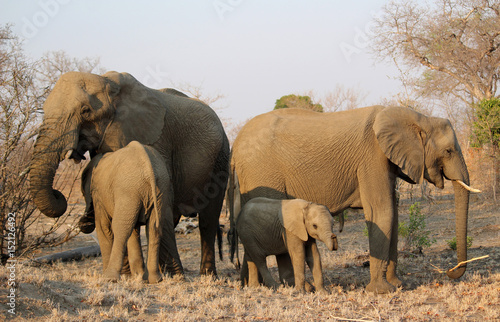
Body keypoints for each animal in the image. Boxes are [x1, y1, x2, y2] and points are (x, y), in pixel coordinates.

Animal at [81, 140, 183, 282]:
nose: (83, 222)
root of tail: (149, 168)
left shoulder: (98, 195)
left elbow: (104, 227)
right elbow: (134, 229)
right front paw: (138, 275)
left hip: (128, 190)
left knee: (121, 228)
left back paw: (110, 278)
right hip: (159, 190)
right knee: (154, 229)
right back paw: (153, 279)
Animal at [229, 106, 480, 294]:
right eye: (448, 151)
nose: (450, 273)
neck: (415, 117)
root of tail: (235, 145)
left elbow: (393, 216)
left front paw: (397, 285)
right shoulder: (372, 156)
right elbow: (382, 212)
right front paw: (382, 291)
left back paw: (255, 286)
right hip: (261, 171)